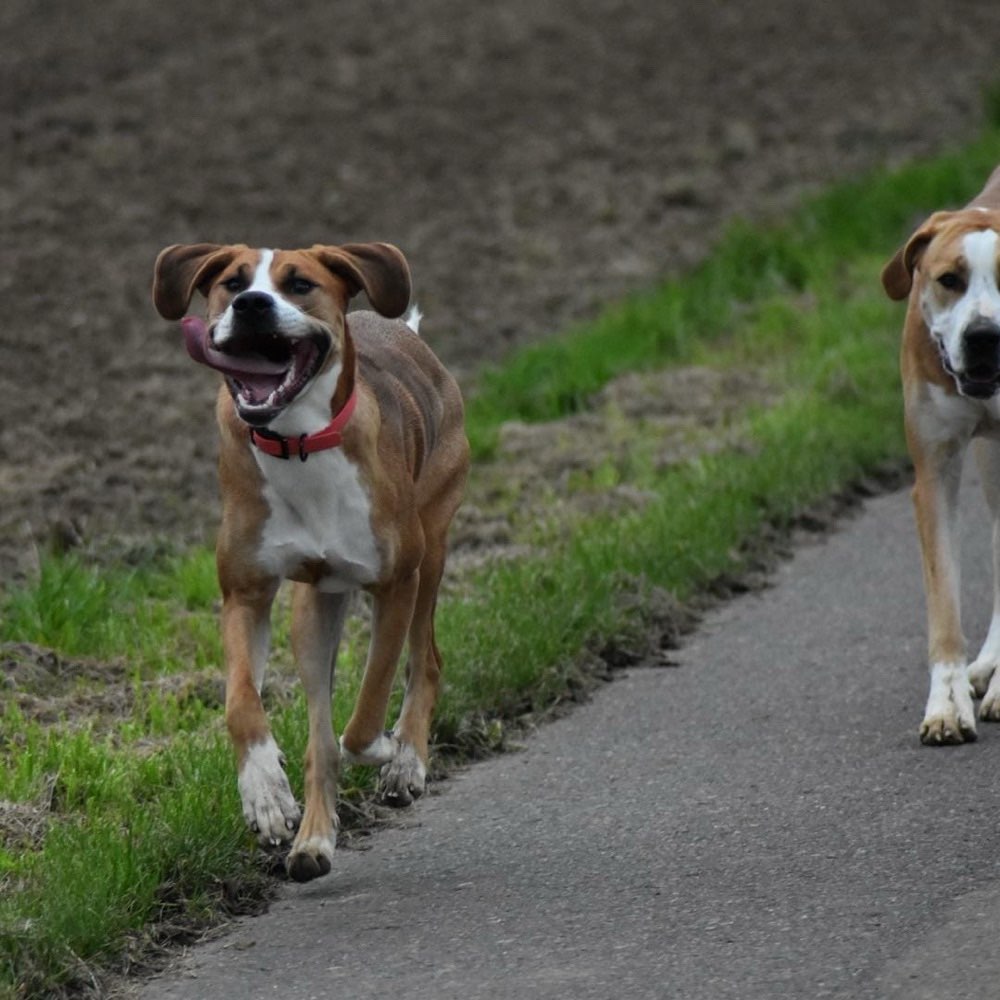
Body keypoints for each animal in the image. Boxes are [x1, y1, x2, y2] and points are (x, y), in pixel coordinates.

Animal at [151, 244, 468, 884]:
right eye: (232, 283)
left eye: (299, 284)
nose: (252, 304)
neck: (299, 442)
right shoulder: (245, 593)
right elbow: (242, 705)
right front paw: (266, 797)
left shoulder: (397, 583)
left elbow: (368, 708)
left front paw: (386, 750)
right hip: (314, 607)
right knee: (319, 736)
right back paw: (312, 842)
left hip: (432, 545)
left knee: (426, 660)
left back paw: (406, 762)